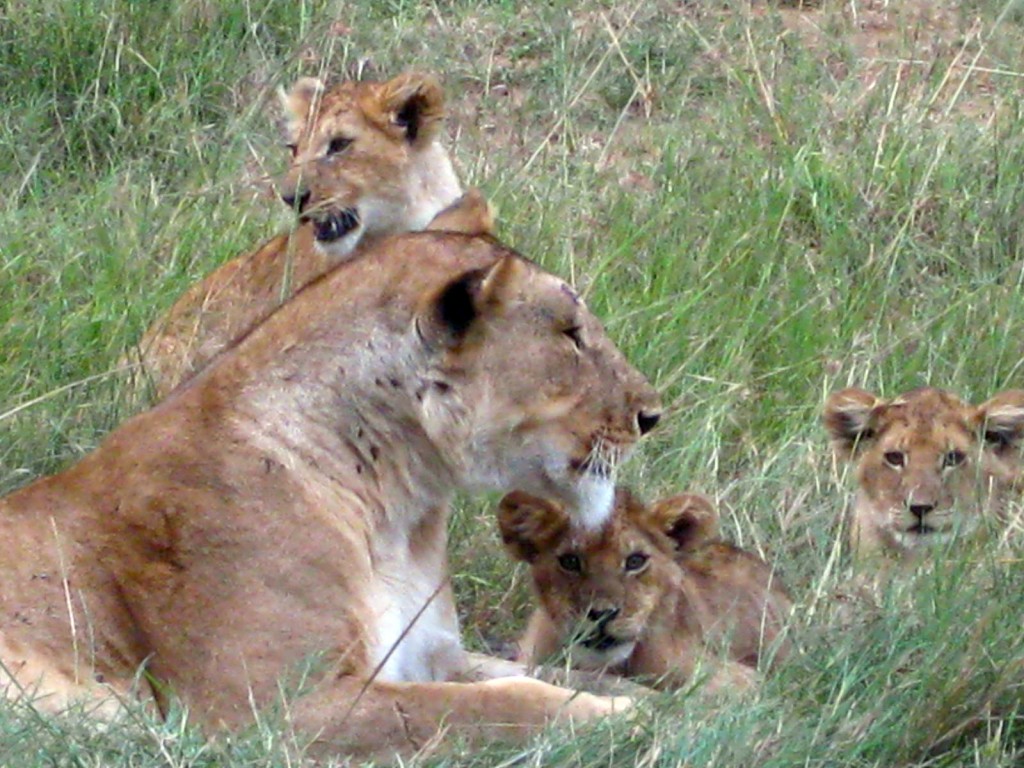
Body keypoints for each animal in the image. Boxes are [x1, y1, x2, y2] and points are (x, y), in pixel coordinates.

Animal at [0, 230, 663, 762]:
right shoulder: (273, 711)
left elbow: (538, 671)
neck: (402, 504)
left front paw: (661, 704)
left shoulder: (433, 652)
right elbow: (482, 706)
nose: (652, 415)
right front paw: (621, 721)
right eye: (571, 335)